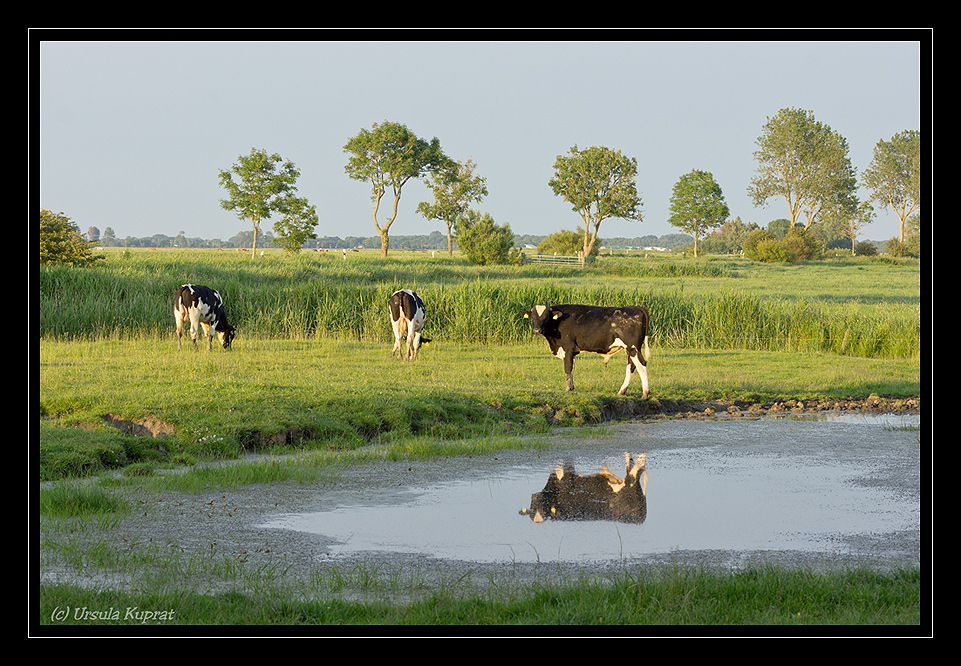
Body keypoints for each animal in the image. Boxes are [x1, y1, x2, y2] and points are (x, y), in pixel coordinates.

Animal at [520, 452, 648, 524]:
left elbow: (564, 467)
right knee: (634, 468)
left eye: (539, 505)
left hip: (628, 488)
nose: (534, 495)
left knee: (634, 472)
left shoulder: (566, 479)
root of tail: (640, 518)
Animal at [524, 304, 652, 396]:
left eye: (546, 317)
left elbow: (567, 368)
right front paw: (571, 387)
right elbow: (572, 368)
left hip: (632, 348)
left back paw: (645, 394)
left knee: (641, 365)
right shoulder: (573, 351)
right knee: (631, 366)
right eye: (533, 317)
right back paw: (622, 391)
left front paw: (567, 389)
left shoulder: (568, 347)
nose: (537, 330)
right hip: (630, 349)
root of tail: (635, 307)